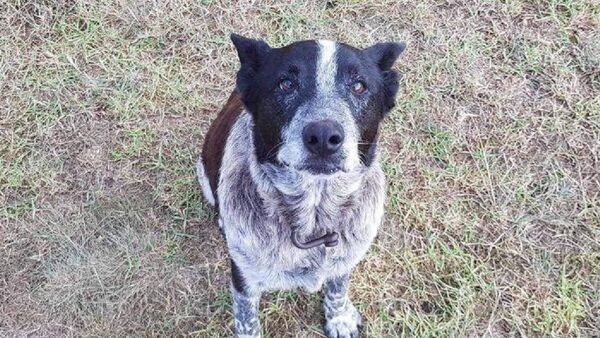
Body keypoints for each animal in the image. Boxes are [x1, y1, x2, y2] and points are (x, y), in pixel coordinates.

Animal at [199, 35, 406, 338]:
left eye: (358, 86)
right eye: (286, 83)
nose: (323, 136)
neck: (313, 217)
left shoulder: (344, 259)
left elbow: (337, 288)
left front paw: (339, 318)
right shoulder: (245, 278)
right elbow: (247, 319)